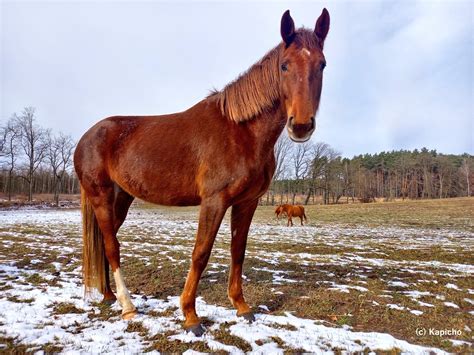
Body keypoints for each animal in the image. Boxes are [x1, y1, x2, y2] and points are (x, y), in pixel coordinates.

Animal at [74, 8, 332, 336]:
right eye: (284, 65)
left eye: (321, 64)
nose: (300, 125)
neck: (241, 131)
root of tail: (87, 136)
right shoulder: (214, 201)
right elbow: (201, 253)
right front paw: (190, 316)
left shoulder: (246, 203)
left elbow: (238, 251)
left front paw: (242, 306)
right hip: (101, 196)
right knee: (111, 246)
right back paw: (128, 307)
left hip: (121, 199)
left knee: (106, 244)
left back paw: (109, 296)